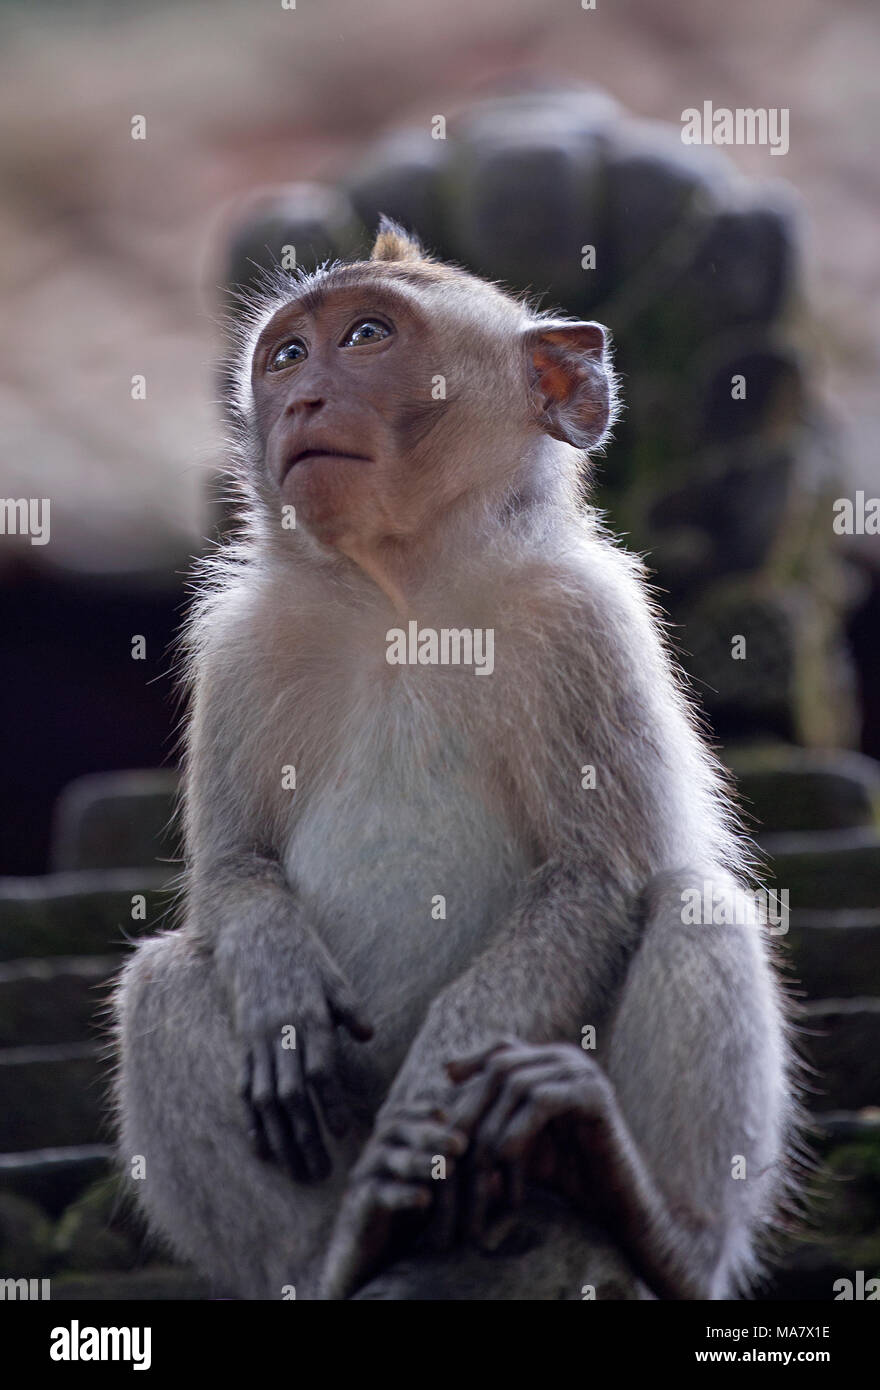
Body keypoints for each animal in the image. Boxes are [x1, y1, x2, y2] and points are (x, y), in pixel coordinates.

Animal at [111, 216, 795, 1301]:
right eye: (288, 355)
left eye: (367, 336)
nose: (300, 400)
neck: (407, 593)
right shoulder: (242, 644)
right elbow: (231, 871)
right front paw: (279, 987)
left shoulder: (583, 622)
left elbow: (593, 878)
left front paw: (432, 1111)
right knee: (164, 982)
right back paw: (343, 1250)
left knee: (693, 905)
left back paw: (647, 1215)